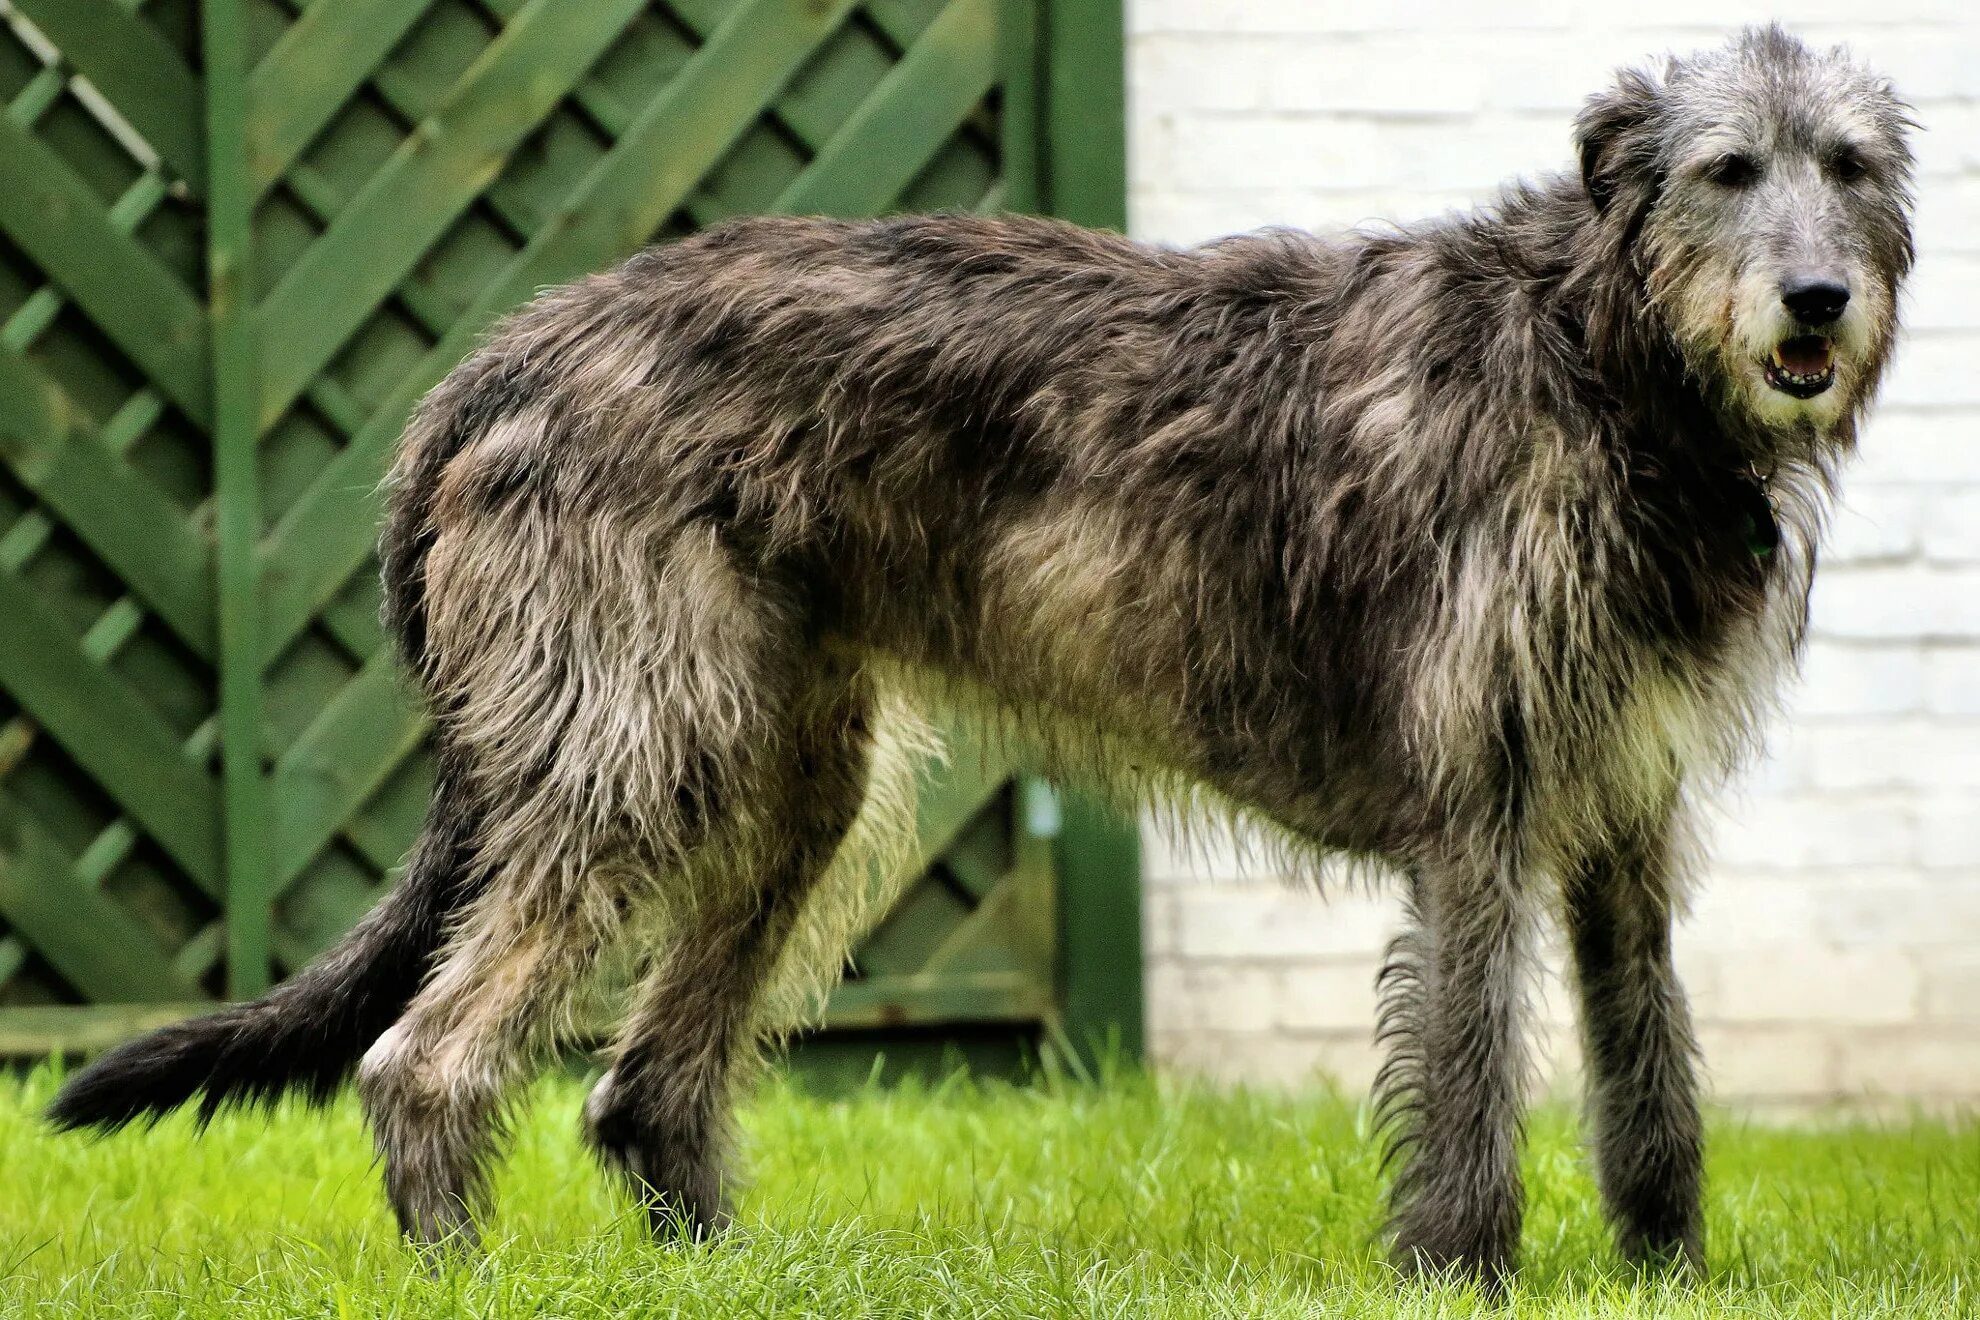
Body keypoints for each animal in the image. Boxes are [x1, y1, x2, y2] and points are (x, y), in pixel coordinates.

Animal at [57, 25, 1916, 1290]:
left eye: (1851, 165)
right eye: (1725, 172)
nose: (1816, 306)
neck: (1608, 364)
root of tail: (507, 352)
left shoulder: (1621, 826)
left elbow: (1652, 1073)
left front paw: (1669, 1279)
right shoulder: (1478, 815)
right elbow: (1465, 1083)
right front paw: (1464, 1282)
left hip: (789, 780)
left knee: (642, 1087)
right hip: (633, 752)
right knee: (424, 1057)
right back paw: (466, 1277)